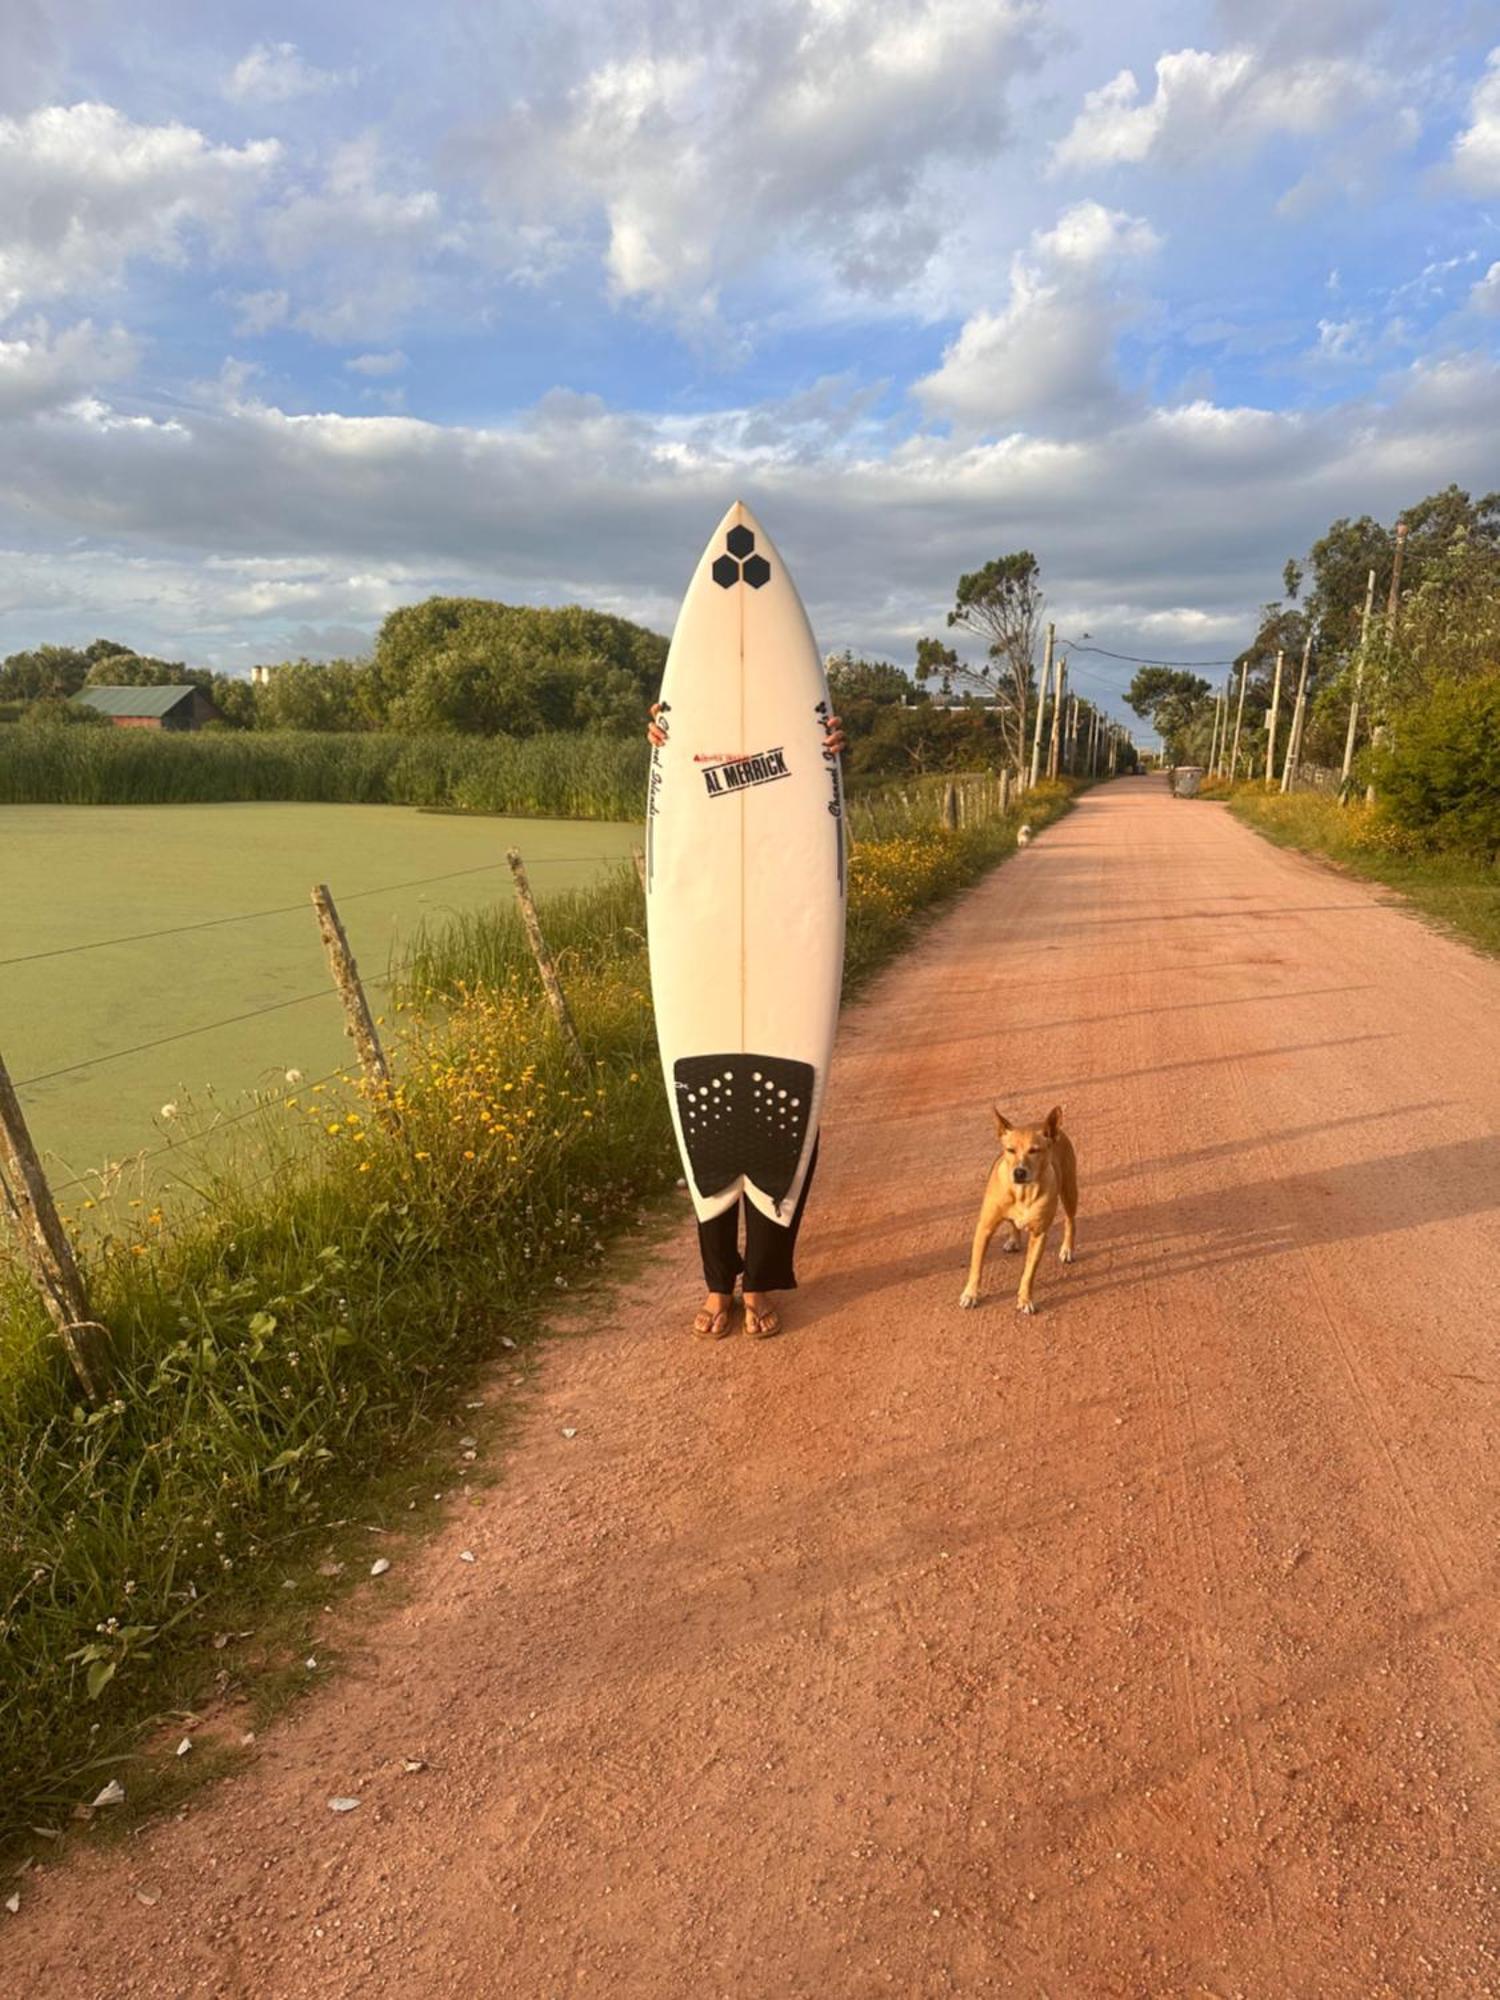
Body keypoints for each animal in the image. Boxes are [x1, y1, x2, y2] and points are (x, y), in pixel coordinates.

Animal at [964, 1112, 1080, 1312]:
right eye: (1010, 1150)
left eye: (1034, 1150)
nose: (1019, 1172)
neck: (1023, 1193)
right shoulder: (984, 1229)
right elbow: (976, 1267)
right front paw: (970, 1295)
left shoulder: (1039, 1234)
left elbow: (1028, 1273)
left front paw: (1025, 1299)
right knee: (1013, 1222)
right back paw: (1013, 1240)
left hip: (1070, 1191)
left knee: (1070, 1221)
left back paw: (1067, 1249)